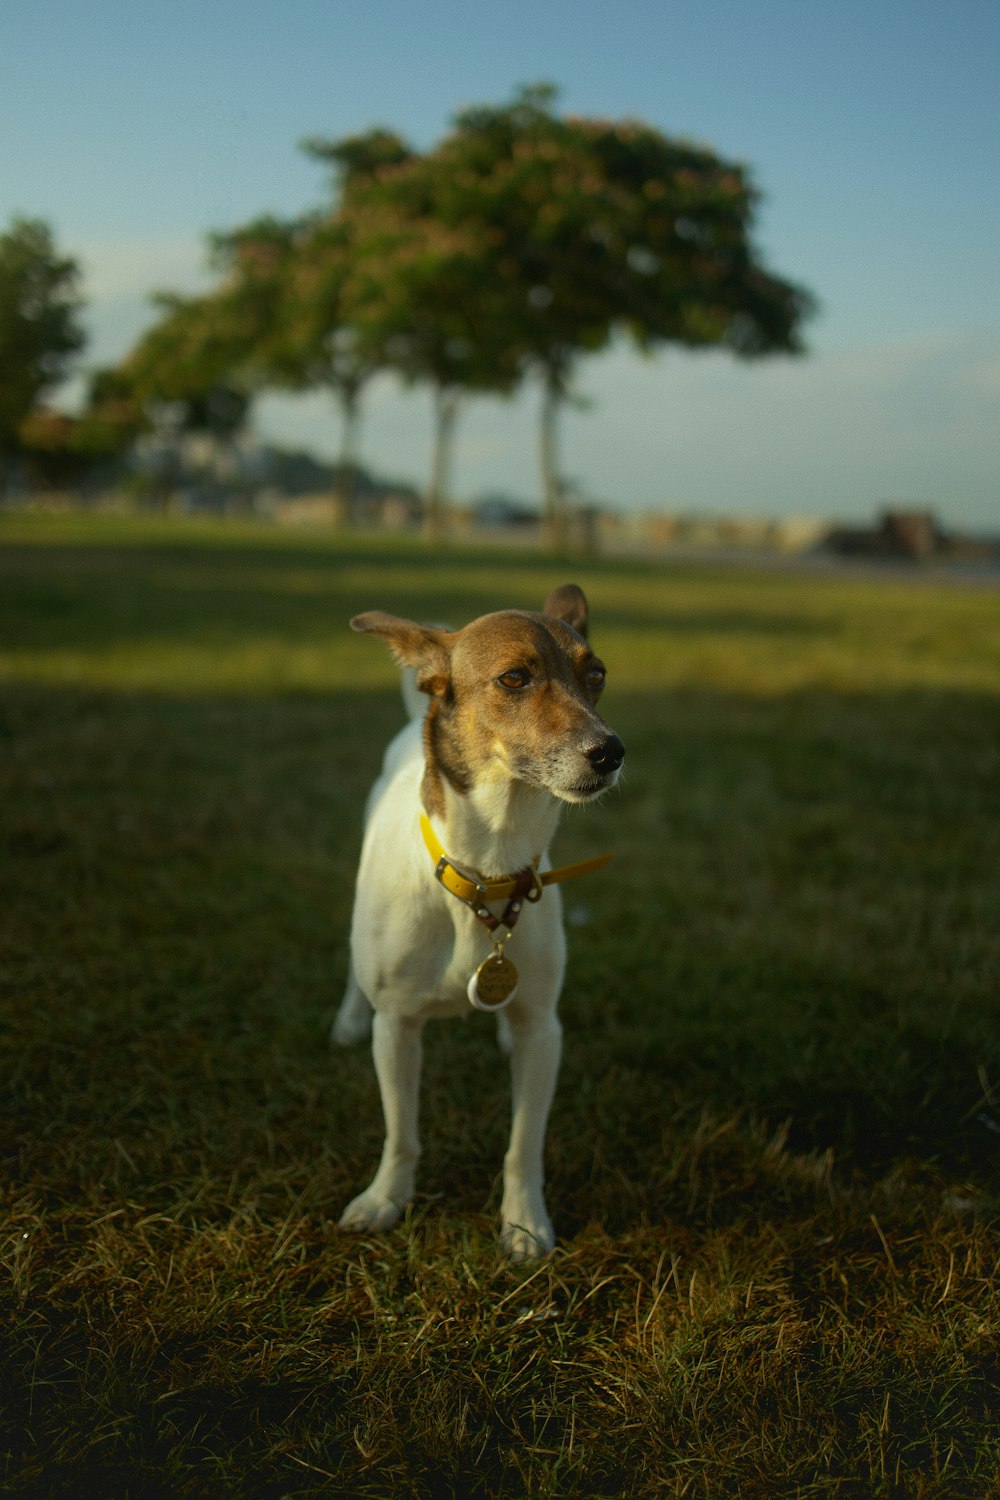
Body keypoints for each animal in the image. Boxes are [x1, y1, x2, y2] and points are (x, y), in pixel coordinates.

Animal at [332, 582, 620, 1254]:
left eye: (596, 675)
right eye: (515, 677)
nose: (610, 751)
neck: (487, 873)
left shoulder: (545, 1032)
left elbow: (523, 1145)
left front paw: (523, 1222)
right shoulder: (398, 1029)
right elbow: (402, 1134)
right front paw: (386, 1199)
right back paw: (348, 1017)